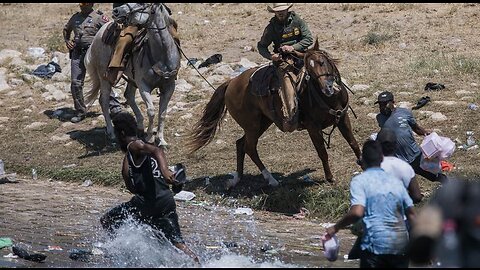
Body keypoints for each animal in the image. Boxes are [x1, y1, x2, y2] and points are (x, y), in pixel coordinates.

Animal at [82, 3, 180, 146]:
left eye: (141, 4)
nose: (116, 11)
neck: (162, 55)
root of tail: (98, 35)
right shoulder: (143, 85)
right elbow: (151, 111)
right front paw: (149, 137)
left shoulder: (169, 86)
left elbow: (162, 113)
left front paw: (161, 140)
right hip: (104, 77)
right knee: (104, 101)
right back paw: (111, 133)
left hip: (131, 78)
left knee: (128, 95)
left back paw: (139, 126)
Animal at [188, 39, 360, 189]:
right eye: (309, 70)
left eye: (322, 62)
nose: (327, 88)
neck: (328, 99)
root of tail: (230, 83)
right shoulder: (313, 128)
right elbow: (322, 152)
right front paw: (330, 178)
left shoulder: (343, 118)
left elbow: (353, 143)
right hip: (252, 125)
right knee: (250, 147)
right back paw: (271, 179)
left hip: (262, 123)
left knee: (241, 144)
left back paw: (237, 178)